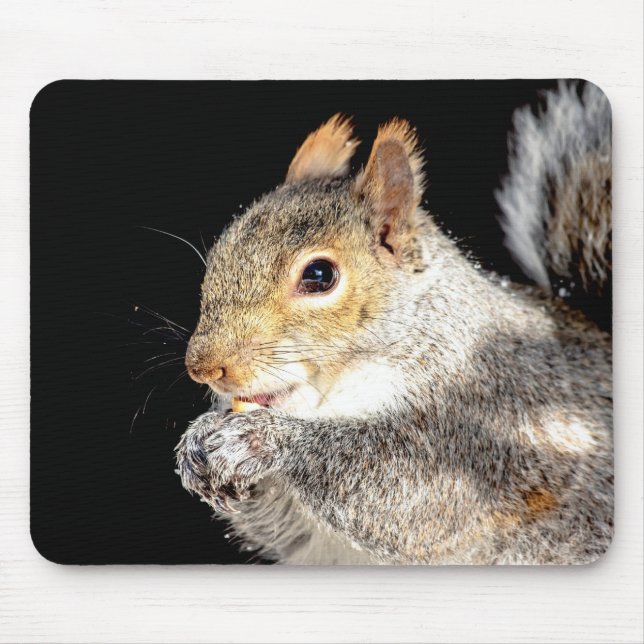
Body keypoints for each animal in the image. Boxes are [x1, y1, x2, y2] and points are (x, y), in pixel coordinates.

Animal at [176, 81, 612, 565]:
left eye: (319, 275)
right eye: (219, 255)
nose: (203, 367)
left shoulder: (483, 428)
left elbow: (409, 495)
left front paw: (259, 441)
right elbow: (281, 526)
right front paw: (197, 442)